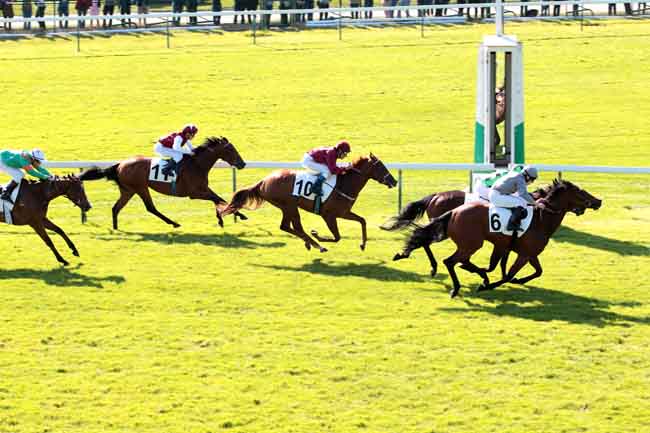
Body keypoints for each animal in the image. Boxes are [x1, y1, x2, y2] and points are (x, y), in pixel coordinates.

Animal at [79, 136, 246, 230]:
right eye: (231, 150)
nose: (242, 164)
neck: (197, 165)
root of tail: (120, 164)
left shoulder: (203, 189)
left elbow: (218, 199)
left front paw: (225, 217)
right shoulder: (195, 193)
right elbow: (217, 199)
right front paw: (235, 215)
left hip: (128, 190)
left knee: (116, 208)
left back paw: (116, 228)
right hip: (140, 187)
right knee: (150, 208)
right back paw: (174, 223)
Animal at [220, 154, 398, 251]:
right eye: (381, 167)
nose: (394, 181)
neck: (344, 184)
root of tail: (264, 181)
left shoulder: (343, 212)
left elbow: (362, 220)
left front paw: (363, 244)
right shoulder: (329, 215)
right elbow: (337, 237)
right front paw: (317, 235)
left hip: (288, 207)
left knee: (286, 226)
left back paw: (309, 243)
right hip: (289, 206)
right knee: (294, 227)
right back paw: (317, 245)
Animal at [398, 179, 600, 296]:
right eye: (580, 191)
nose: (598, 201)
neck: (541, 218)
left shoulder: (525, 252)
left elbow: (536, 271)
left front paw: (518, 280)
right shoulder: (523, 254)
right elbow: (508, 274)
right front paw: (488, 284)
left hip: (456, 237)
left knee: (433, 245)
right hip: (469, 242)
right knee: (447, 257)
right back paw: (455, 283)